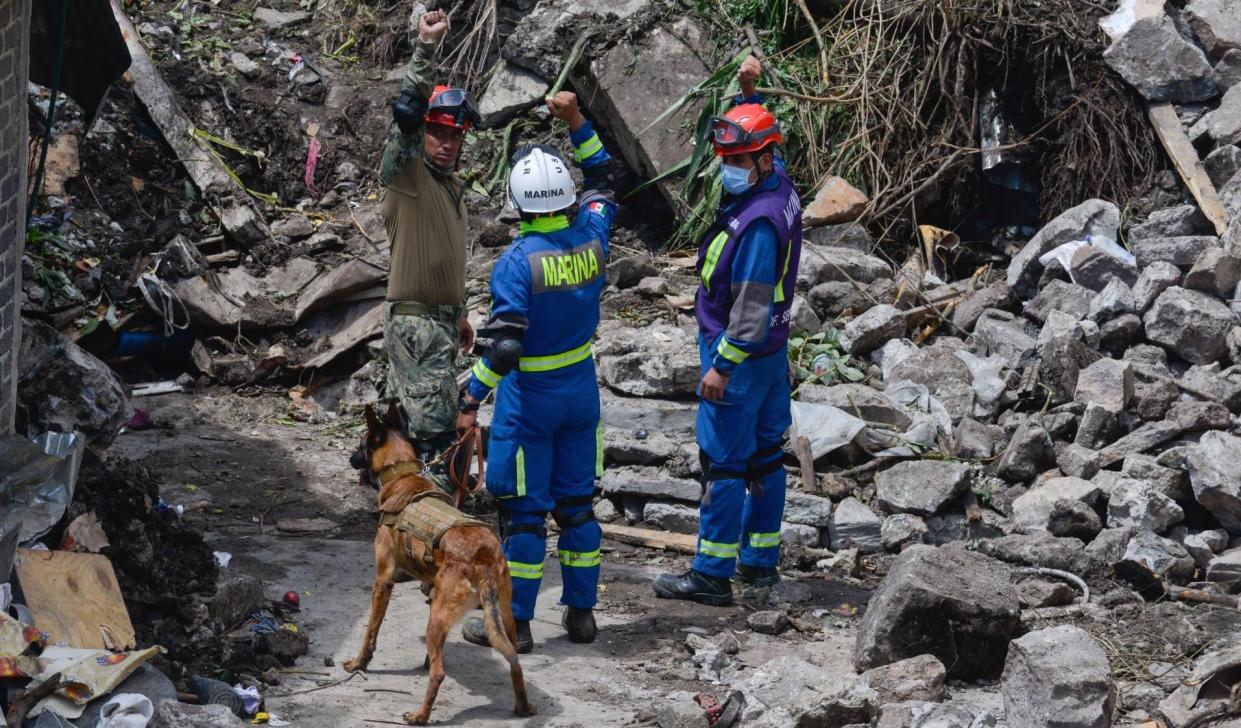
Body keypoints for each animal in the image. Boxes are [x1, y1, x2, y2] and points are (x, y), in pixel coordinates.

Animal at [347, 404, 536, 724]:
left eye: (361, 444)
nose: (350, 458)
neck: (402, 474)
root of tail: (483, 558)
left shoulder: (383, 581)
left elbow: (371, 630)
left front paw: (359, 662)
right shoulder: (431, 589)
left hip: (436, 619)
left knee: (439, 674)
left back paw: (420, 715)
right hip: (503, 618)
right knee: (514, 662)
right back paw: (522, 707)